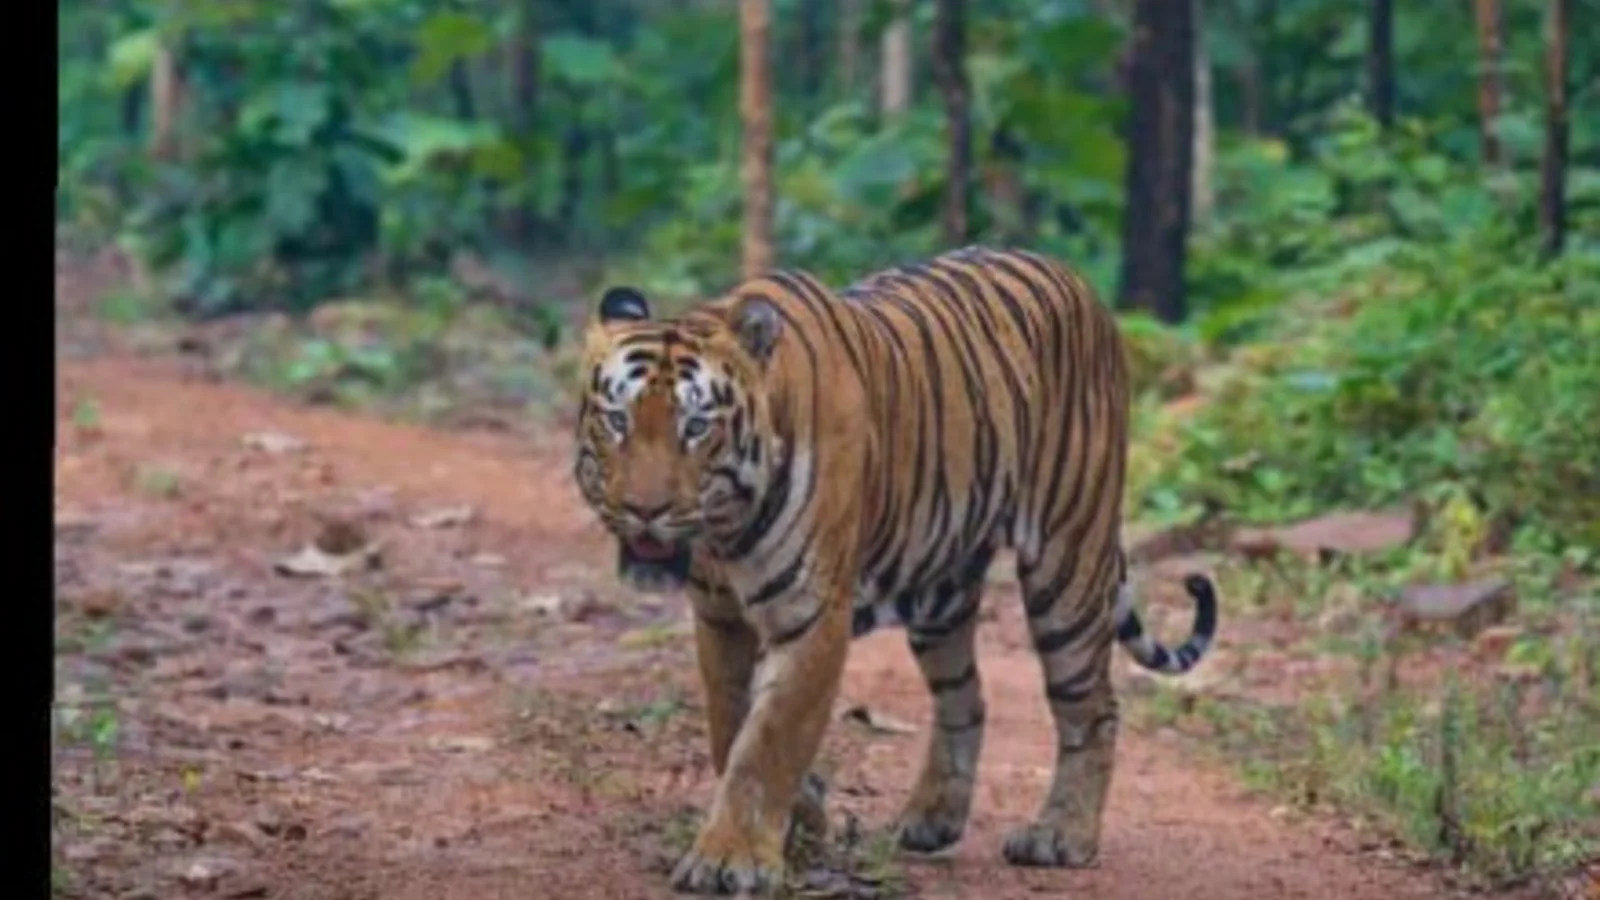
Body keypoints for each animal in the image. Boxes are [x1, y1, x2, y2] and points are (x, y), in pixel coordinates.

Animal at [571, 245, 1219, 895]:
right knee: (966, 697)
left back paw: (1062, 835)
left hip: (1068, 561)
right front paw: (803, 817)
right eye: (618, 421)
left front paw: (732, 859)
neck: (728, 528)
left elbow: (769, 739)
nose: (644, 510)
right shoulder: (720, 618)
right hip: (942, 591)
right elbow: (730, 725)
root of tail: (1079, 284)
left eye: (696, 427)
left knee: (1094, 707)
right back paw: (933, 818)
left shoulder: (811, 619)